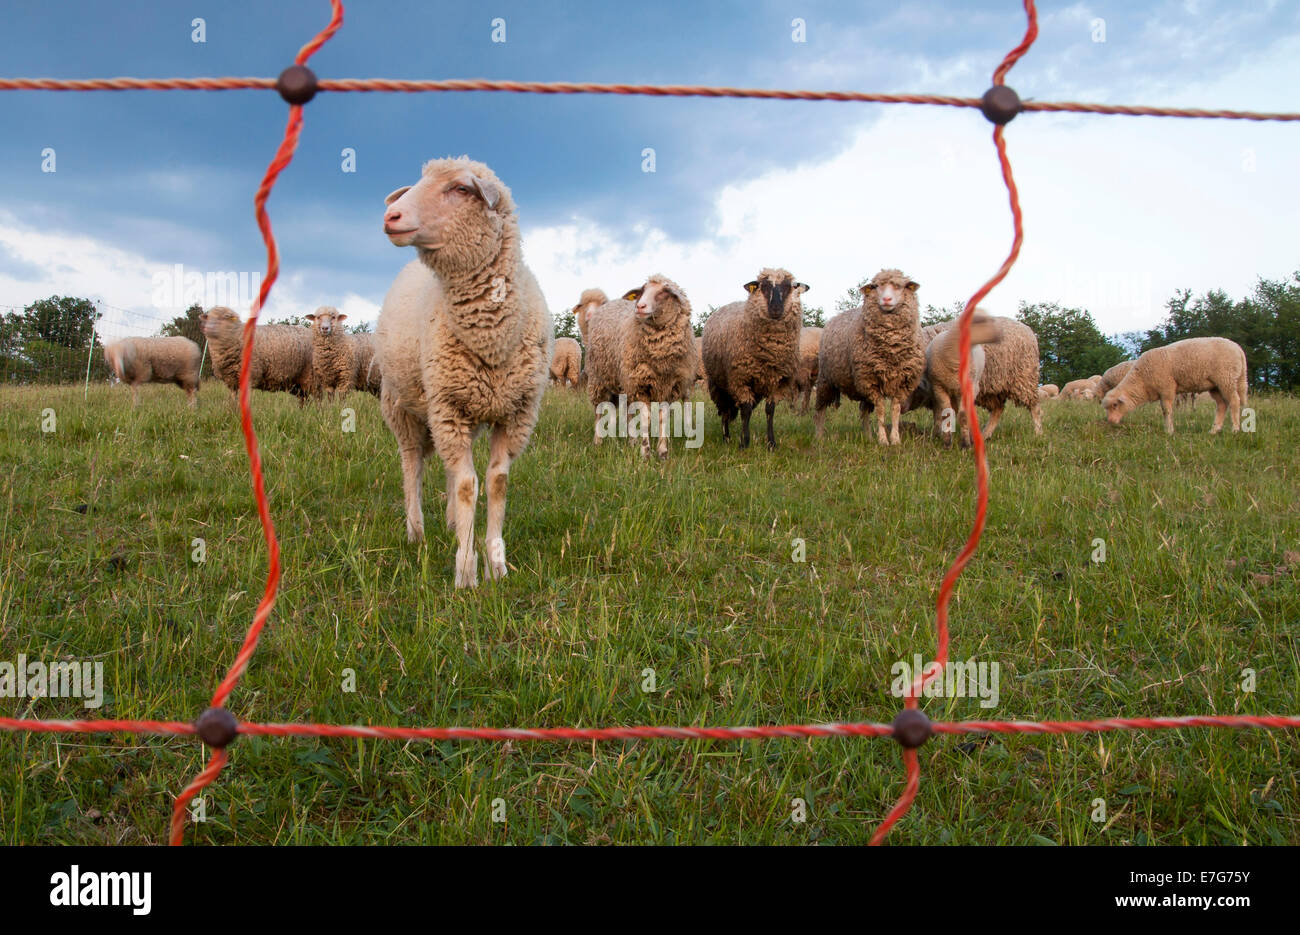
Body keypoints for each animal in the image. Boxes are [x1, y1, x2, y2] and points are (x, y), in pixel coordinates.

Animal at [374, 156, 551, 587]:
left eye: (460, 188)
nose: (390, 215)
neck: (492, 336)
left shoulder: (515, 413)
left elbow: (495, 482)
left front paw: (496, 564)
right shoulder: (449, 405)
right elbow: (470, 485)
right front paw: (466, 571)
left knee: (450, 468)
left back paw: (453, 523)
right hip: (403, 404)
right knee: (412, 464)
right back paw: (416, 530)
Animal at [585, 273, 696, 457]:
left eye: (665, 292)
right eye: (643, 290)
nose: (639, 306)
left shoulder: (669, 386)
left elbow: (663, 417)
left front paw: (662, 451)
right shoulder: (641, 384)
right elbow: (645, 418)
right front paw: (645, 452)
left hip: (625, 382)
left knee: (629, 411)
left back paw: (631, 441)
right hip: (598, 377)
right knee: (598, 409)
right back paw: (597, 441)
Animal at [702, 269, 800, 452]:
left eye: (787, 287)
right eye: (764, 286)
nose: (776, 308)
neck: (770, 352)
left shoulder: (777, 382)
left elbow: (770, 411)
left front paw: (771, 443)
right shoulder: (740, 378)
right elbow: (746, 411)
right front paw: (744, 443)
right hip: (719, 384)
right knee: (725, 411)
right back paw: (726, 438)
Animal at [811, 269, 925, 447]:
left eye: (899, 286)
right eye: (876, 286)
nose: (886, 299)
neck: (891, 344)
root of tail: (834, 318)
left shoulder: (901, 383)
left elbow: (895, 411)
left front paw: (895, 439)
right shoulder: (871, 381)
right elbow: (881, 411)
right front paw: (883, 440)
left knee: (864, 412)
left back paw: (868, 437)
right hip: (826, 380)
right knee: (820, 411)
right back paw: (819, 436)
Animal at [1097, 335, 1248, 434]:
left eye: (1115, 405)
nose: (1110, 421)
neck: (1141, 381)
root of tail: (1238, 348)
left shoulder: (1167, 388)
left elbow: (1166, 410)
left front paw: (1169, 431)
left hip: (1226, 378)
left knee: (1234, 401)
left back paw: (1235, 429)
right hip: (1215, 385)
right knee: (1222, 405)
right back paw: (1214, 430)